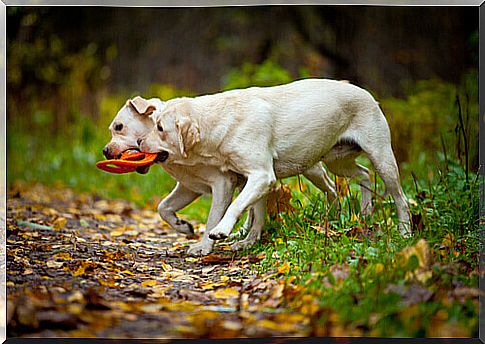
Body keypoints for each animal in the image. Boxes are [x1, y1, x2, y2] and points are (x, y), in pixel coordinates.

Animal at [102, 95, 336, 254]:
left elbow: (212, 218)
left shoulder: (222, 184)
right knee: (253, 211)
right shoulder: (189, 187)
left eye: (119, 127)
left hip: (309, 167)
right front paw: (183, 226)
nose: (104, 150)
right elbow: (163, 208)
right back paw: (244, 235)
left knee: (330, 186)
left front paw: (204, 246)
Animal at [139, 78, 408, 241]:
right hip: (336, 162)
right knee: (363, 174)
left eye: (160, 128)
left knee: (400, 198)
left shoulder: (261, 176)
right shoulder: (251, 179)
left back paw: (404, 232)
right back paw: (363, 213)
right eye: (154, 123)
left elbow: (237, 206)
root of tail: (367, 93)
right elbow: (253, 211)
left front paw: (221, 230)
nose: (140, 142)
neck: (221, 119)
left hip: (382, 156)